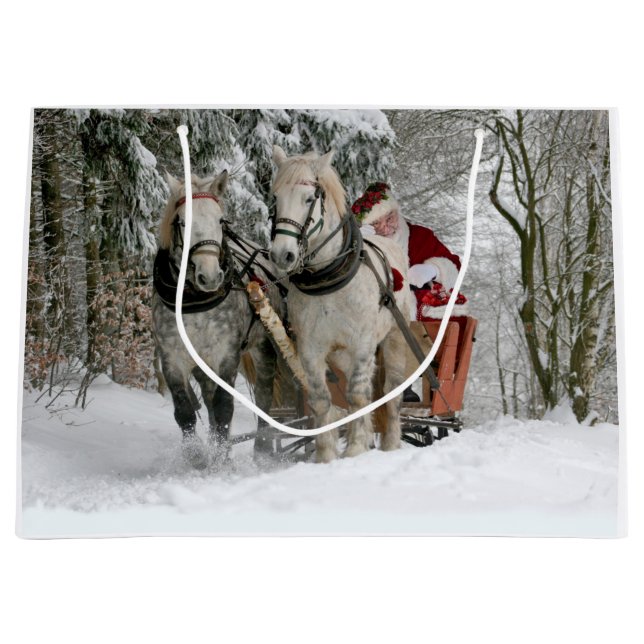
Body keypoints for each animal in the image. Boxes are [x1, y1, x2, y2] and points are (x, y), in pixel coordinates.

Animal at [151, 171, 280, 469]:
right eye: (182, 222)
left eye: (221, 220)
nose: (209, 277)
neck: (194, 303)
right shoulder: (172, 356)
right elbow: (184, 410)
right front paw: (197, 456)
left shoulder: (226, 353)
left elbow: (225, 407)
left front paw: (222, 460)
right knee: (208, 400)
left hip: (263, 348)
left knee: (264, 396)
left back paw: (262, 449)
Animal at [270, 146, 413, 463]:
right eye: (275, 198)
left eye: (309, 198)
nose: (282, 255)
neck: (328, 276)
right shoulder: (310, 349)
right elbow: (322, 399)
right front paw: (326, 455)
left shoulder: (362, 343)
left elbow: (357, 396)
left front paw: (356, 448)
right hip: (340, 354)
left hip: (395, 339)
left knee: (391, 392)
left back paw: (390, 443)